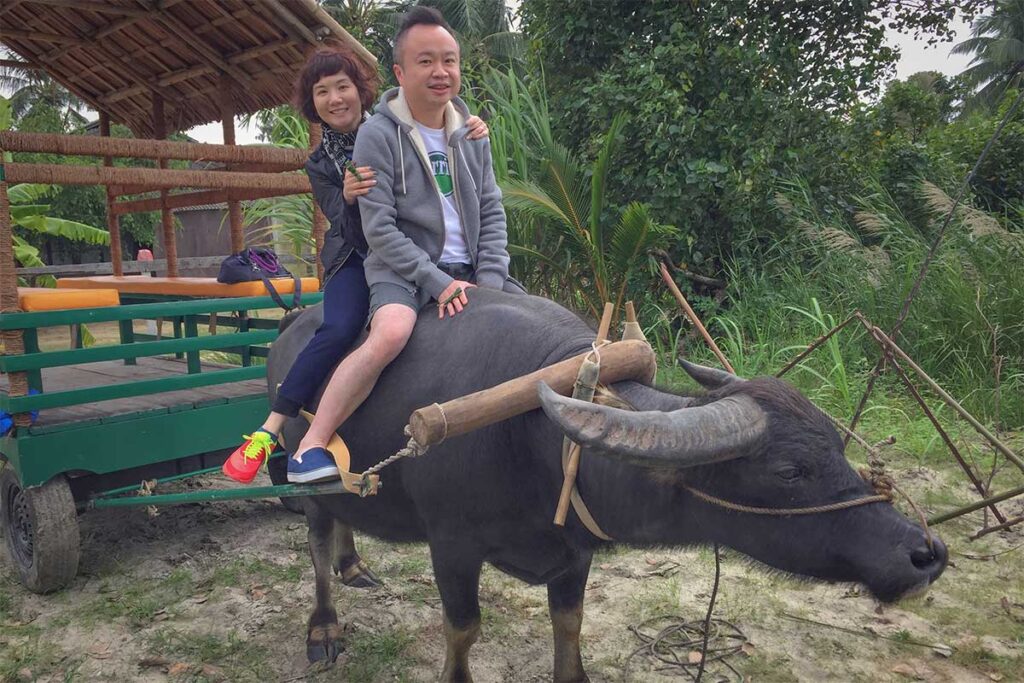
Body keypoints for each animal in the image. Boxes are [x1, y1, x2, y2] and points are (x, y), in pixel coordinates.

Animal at [268, 289, 946, 683]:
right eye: (789, 472)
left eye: (837, 446)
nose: (925, 553)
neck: (533, 443)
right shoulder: (452, 547)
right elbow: (463, 630)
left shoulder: (574, 554)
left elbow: (569, 626)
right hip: (302, 473)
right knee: (317, 539)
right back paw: (324, 625)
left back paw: (356, 563)